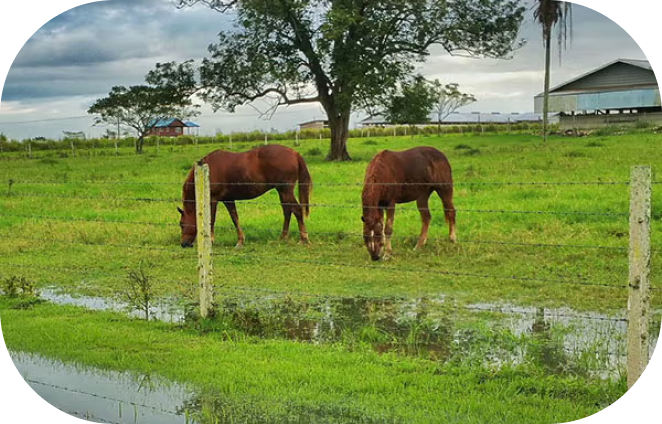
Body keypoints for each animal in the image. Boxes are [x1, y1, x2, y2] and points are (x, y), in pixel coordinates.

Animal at [179, 144, 314, 247]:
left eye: (181, 223)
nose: (184, 244)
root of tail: (295, 153)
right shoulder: (228, 199)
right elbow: (235, 218)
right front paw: (240, 241)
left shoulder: (213, 199)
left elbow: (211, 219)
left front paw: (211, 240)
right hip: (282, 191)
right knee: (287, 211)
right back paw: (283, 237)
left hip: (285, 191)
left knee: (297, 210)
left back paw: (303, 239)